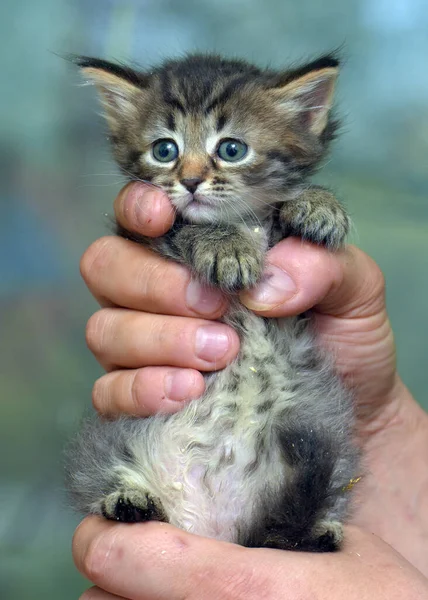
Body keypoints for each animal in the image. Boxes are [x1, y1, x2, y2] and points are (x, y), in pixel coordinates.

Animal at [67, 54, 360, 552]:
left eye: (232, 149)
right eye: (164, 150)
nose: (189, 181)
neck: (245, 222)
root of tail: (212, 526)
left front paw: (318, 205)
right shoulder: (142, 233)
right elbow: (183, 226)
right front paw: (226, 247)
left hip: (334, 437)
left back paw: (320, 530)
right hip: (109, 440)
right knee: (101, 476)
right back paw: (127, 499)